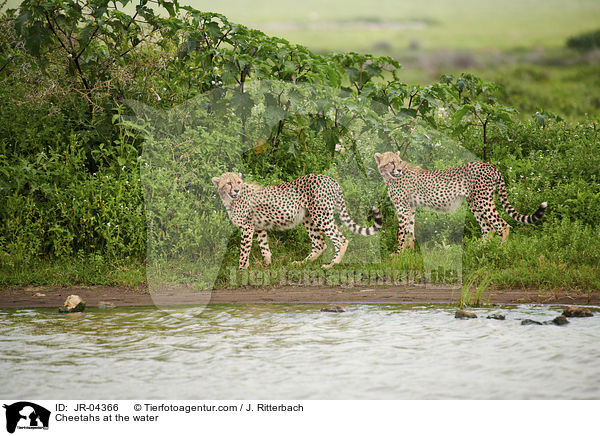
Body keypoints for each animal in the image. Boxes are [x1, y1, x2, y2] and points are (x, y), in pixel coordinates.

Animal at [213, 173, 382, 270]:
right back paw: (302, 263)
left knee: (340, 240)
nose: (236, 190)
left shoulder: (247, 227)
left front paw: (241, 269)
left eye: (238, 182)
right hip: (309, 218)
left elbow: (244, 249)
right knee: (320, 244)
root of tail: (329, 178)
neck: (230, 199)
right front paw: (267, 263)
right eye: (229, 183)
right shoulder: (258, 226)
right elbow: (264, 245)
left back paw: (332, 265)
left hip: (321, 216)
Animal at [376, 151, 548, 250]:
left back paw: (500, 249)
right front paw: (410, 253)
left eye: (399, 161)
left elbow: (401, 233)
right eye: (391, 162)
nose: (398, 169)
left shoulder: (402, 208)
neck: (389, 177)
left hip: (482, 201)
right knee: (488, 228)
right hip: (475, 203)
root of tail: (489, 165)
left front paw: (397, 255)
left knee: (502, 225)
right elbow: (409, 231)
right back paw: (478, 249)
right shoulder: (410, 207)